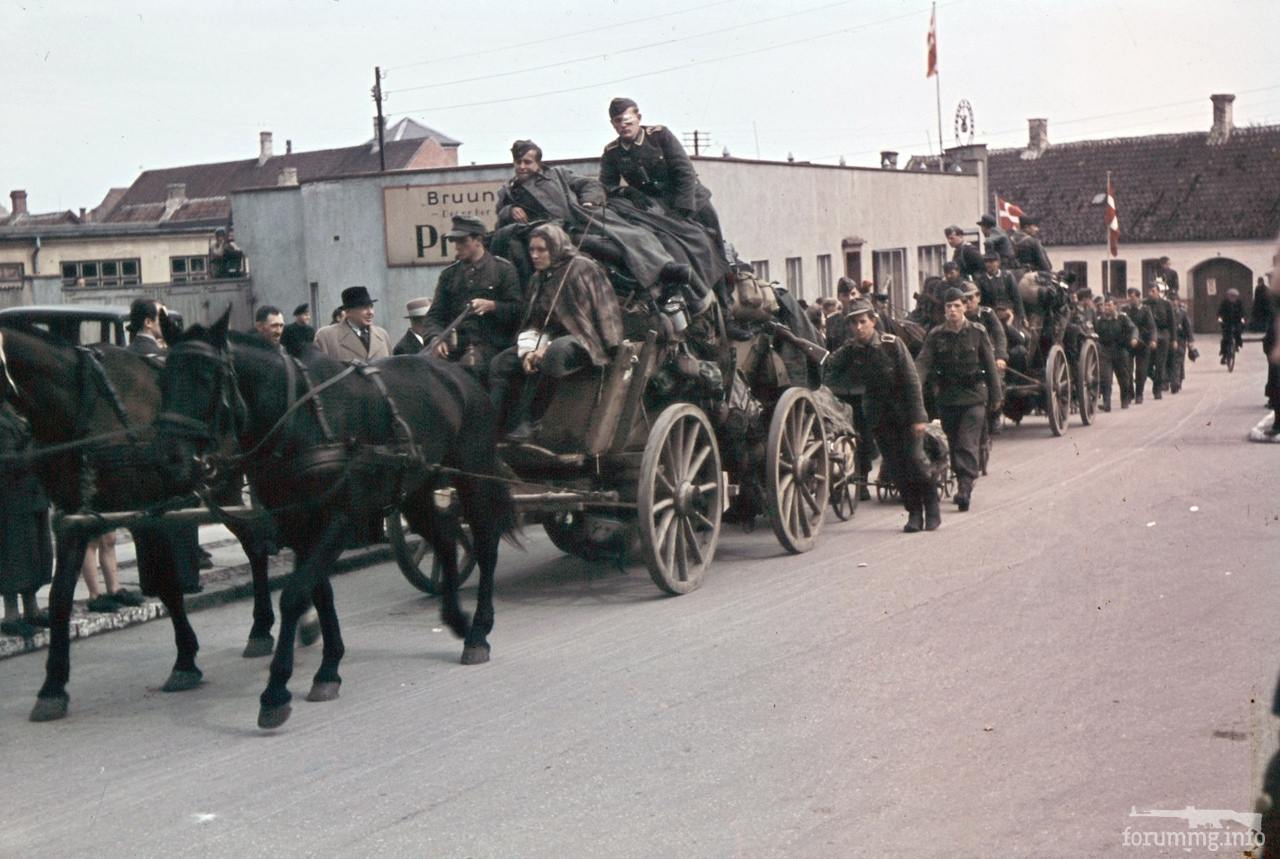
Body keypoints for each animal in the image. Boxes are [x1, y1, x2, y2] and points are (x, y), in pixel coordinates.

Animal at [0, 326, 288, 722]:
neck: (82, 402)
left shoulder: (147, 512)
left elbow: (167, 585)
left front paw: (185, 661)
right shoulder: (74, 519)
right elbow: (59, 598)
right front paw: (52, 687)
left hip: (227, 483)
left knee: (257, 541)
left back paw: (264, 626)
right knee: (256, 540)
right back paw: (262, 627)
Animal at [151, 312, 509, 727]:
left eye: (206, 377)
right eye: (163, 379)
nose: (168, 459)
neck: (298, 420)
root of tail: (458, 373)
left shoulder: (340, 519)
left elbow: (294, 595)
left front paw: (275, 691)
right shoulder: (298, 525)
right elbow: (319, 593)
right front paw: (328, 667)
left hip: (473, 475)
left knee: (485, 543)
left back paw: (478, 631)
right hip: (416, 488)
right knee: (446, 540)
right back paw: (456, 618)